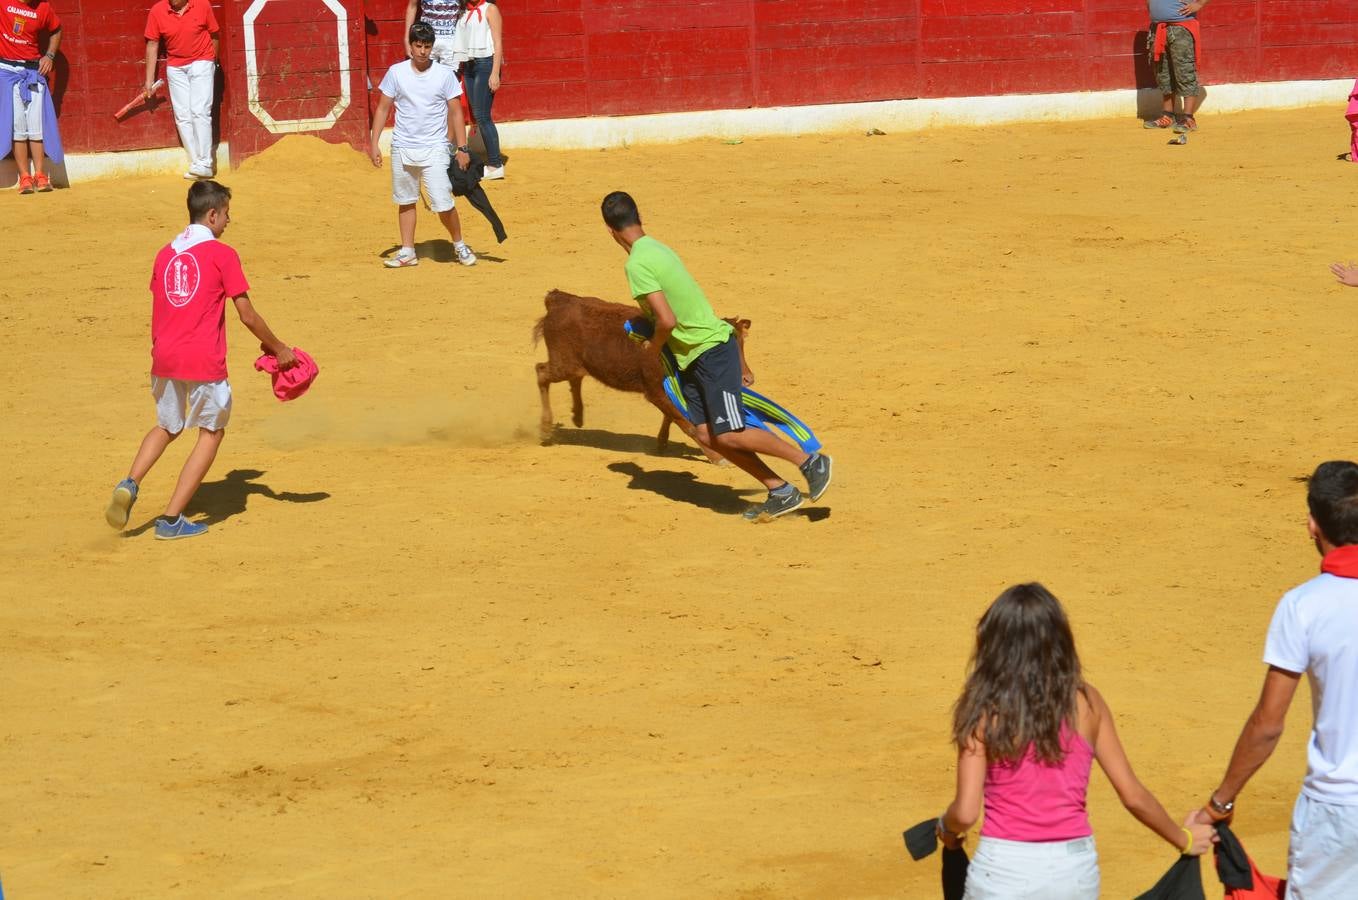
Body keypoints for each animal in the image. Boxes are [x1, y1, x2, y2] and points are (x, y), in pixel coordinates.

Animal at [532, 290, 755, 458]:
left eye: (742, 344)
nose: (748, 379)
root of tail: (560, 300)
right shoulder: (655, 392)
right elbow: (686, 423)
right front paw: (716, 456)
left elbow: (672, 416)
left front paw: (662, 443)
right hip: (562, 364)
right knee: (542, 372)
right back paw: (545, 429)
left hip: (573, 363)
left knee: (574, 377)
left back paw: (577, 417)